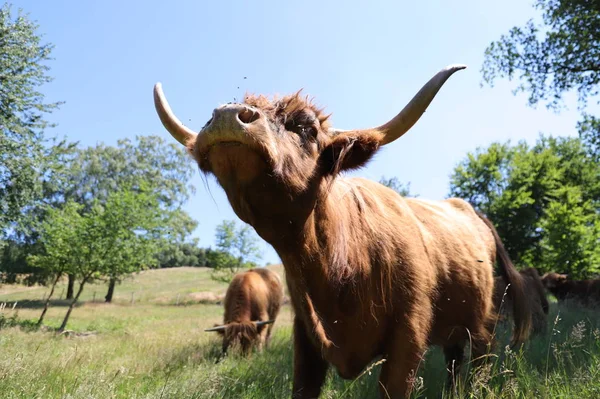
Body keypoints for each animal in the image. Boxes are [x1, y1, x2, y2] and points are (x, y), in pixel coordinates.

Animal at [152, 64, 532, 398]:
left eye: (306, 127)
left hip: (483, 321)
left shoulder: (408, 334)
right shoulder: (306, 335)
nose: (228, 115)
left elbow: (394, 388)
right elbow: (303, 387)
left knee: (480, 361)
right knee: (454, 363)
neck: (341, 267)